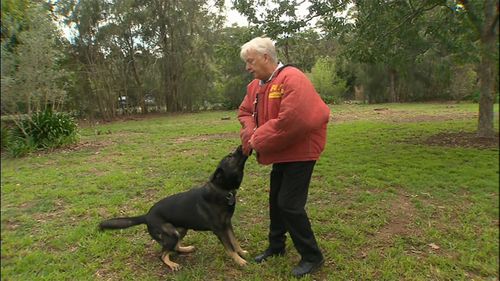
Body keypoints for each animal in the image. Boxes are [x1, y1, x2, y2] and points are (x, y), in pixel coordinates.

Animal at [99, 144, 250, 270]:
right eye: (229, 156)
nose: (241, 145)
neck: (222, 189)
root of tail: (146, 216)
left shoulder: (227, 225)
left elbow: (235, 242)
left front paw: (242, 253)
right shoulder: (219, 230)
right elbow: (230, 248)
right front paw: (240, 261)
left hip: (181, 230)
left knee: (175, 248)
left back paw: (186, 249)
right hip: (171, 234)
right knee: (162, 254)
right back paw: (172, 264)